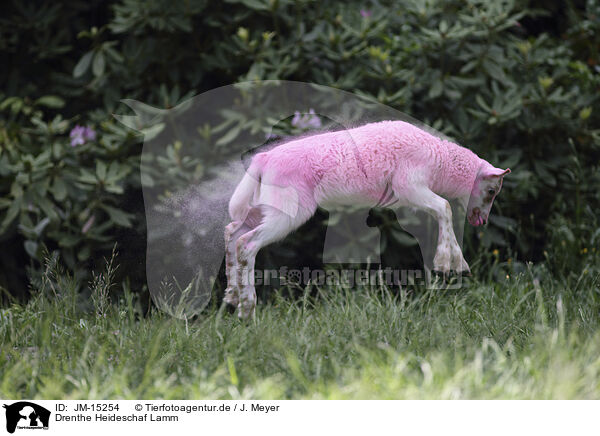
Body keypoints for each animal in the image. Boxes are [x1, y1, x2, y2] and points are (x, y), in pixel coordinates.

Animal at [225, 121, 510, 318]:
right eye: (491, 191)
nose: (482, 221)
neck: (440, 163)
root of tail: (262, 160)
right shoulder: (409, 186)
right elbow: (445, 207)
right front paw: (447, 263)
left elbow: (442, 209)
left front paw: (456, 264)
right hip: (289, 209)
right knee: (247, 243)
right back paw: (247, 308)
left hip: (264, 204)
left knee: (232, 232)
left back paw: (232, 297)